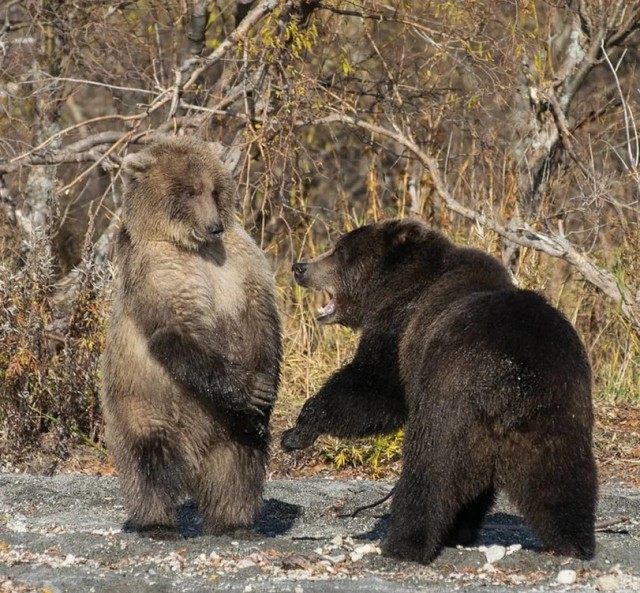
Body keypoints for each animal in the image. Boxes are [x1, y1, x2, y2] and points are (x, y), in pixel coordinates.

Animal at [101, 136, 282, 536]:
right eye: (188, 191)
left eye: (215, 189)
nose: (214, 226)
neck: (192, 246)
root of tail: (195, 458)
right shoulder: (158, 270)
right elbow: (178, 330)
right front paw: (249, 389)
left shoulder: (242, 263)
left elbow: (262, 320)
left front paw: (264, 390)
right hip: (144, 401)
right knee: (149, 459)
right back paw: (156, 522)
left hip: (226, 426)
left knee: (239, 461)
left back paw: (233, 521)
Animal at [282, 219, 596, 564]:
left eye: (340, 251)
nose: (300, 267)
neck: (396, 284)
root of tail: (511, 376)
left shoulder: (400, 326)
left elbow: (375, 388)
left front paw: (298, 429)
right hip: (557, 411)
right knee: (563, 479)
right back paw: (572, 540)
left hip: (451, 403)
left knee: (430, 472)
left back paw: (403, 543)